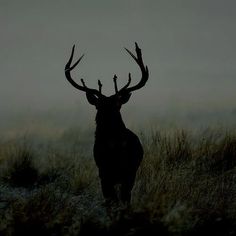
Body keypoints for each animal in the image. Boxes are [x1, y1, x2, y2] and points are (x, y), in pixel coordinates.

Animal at [64, 42, 148, 206]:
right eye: (99, 106)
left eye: (118, 105)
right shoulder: (104, 172)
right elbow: (112, 198)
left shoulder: (125, 172)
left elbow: (121, 198)